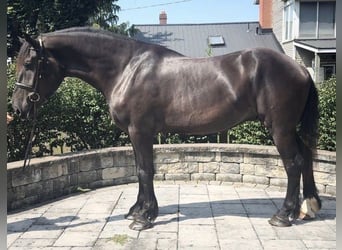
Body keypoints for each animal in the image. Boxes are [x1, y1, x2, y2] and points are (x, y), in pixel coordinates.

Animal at [11, 26, 320, 230]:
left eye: (30, 62)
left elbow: (145, 170)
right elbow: (138, 169)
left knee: (293, 163)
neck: (126, 69)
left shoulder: (140, 131)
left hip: (279, 128)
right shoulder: (135, 134)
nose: (17, 108)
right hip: (288, 128)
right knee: (305, 157)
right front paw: (138, 210)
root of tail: (301, 70)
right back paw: (309, 207)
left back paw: (283, 215)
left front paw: (143, 218)